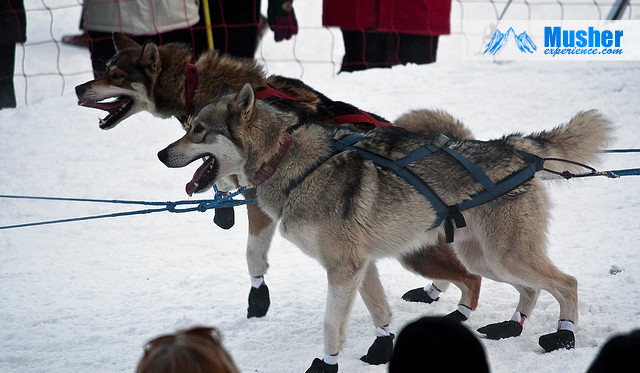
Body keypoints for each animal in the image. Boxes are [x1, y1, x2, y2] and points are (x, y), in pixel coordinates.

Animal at [75, 32, 480, 318]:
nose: (79, 87)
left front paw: (258, 296)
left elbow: (253, 254)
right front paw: (221, 207)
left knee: (466, 272)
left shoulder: (259, 199)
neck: (195, 84)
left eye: (116, 74)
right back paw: (433, 291)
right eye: (105, 68)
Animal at [159, 84, 608, 370]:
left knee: (566, 283)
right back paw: (510, 326)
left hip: (503, 255)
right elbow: (380, 311)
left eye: (198, 130)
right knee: (529, 288)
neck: (290, 161)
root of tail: (512, 147)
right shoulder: (362, 266)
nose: (162, 154)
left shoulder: (343, 269)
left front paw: (325, 365)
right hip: (484, 258)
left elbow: (331, 325)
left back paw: (564, 336)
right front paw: (381, 350)